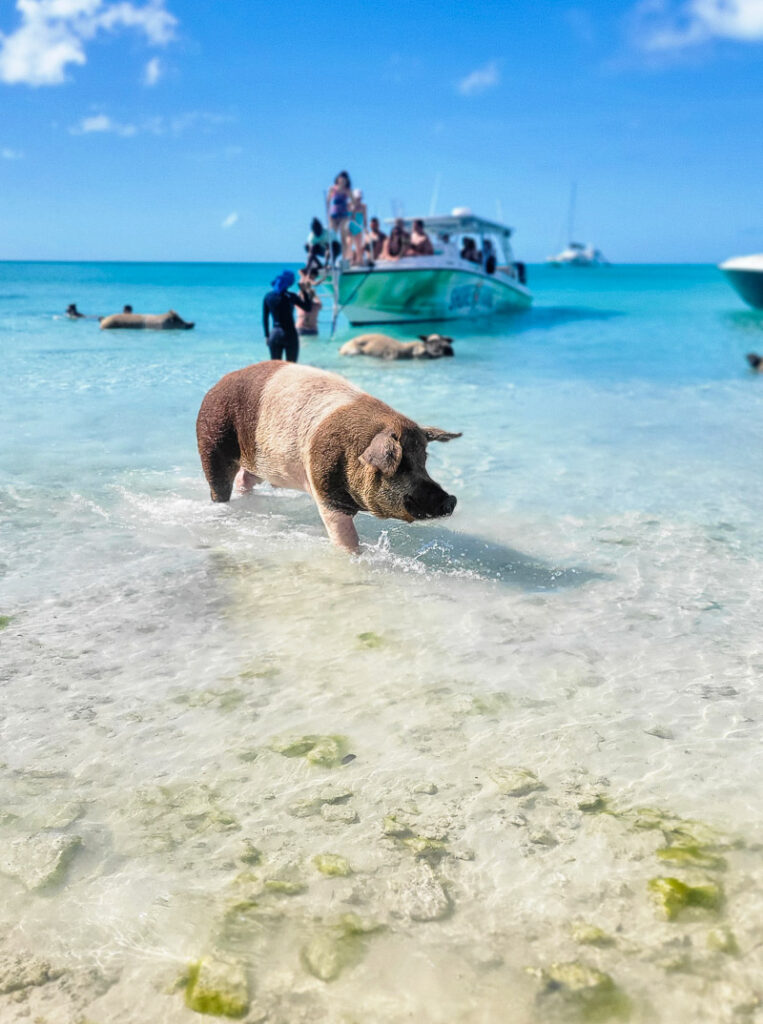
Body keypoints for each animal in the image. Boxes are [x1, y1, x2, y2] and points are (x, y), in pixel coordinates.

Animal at [196, 360, 458, 552]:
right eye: (401, 465)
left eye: (424, 461)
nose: (451, 500)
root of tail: (215, 386)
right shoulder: (325, 488)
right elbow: (343, 535)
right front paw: (355, 554)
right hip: (212, 441)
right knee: (219, 484)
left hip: (260, 461)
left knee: (247, 478)